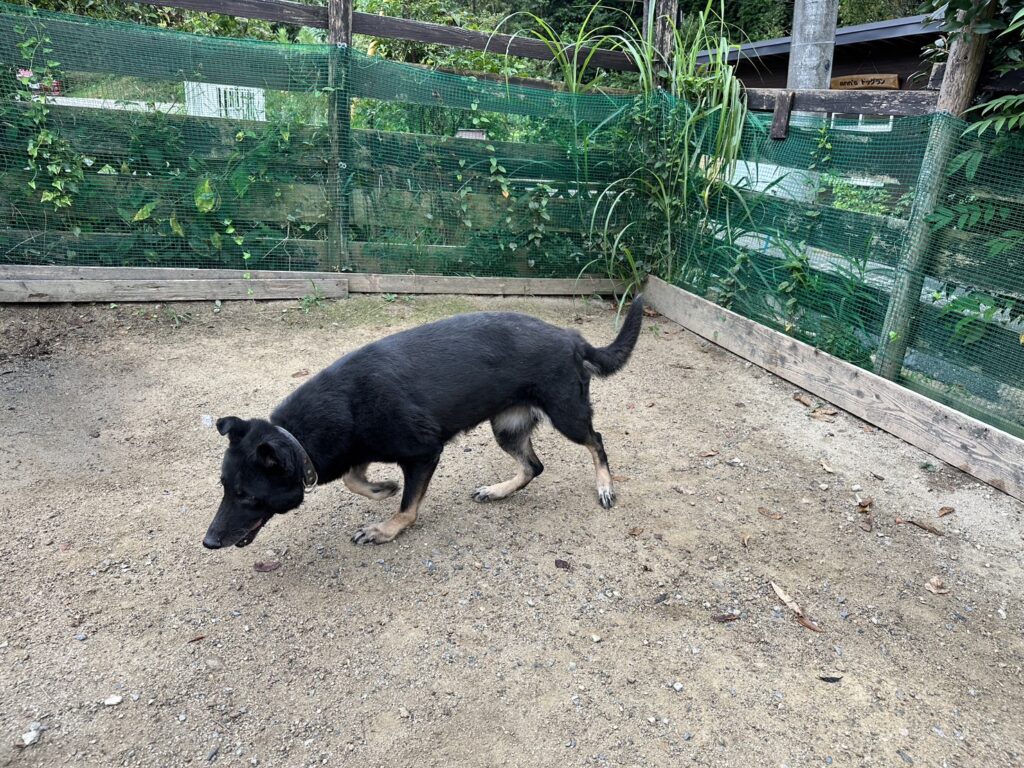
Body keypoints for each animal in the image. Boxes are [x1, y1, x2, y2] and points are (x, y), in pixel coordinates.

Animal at [203, 296, 644, 550]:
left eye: (246, 495)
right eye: (224, 488)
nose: (207, 542)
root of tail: (572, 337)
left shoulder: (423, 453)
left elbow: (408, 508)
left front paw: (385, 528)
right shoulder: (359, 447)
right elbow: (354, 478)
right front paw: (381, 488)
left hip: (566, 414)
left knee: (596, 440)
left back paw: (605, 486)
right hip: (506, 427)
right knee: (534, 466)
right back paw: (498, 491)